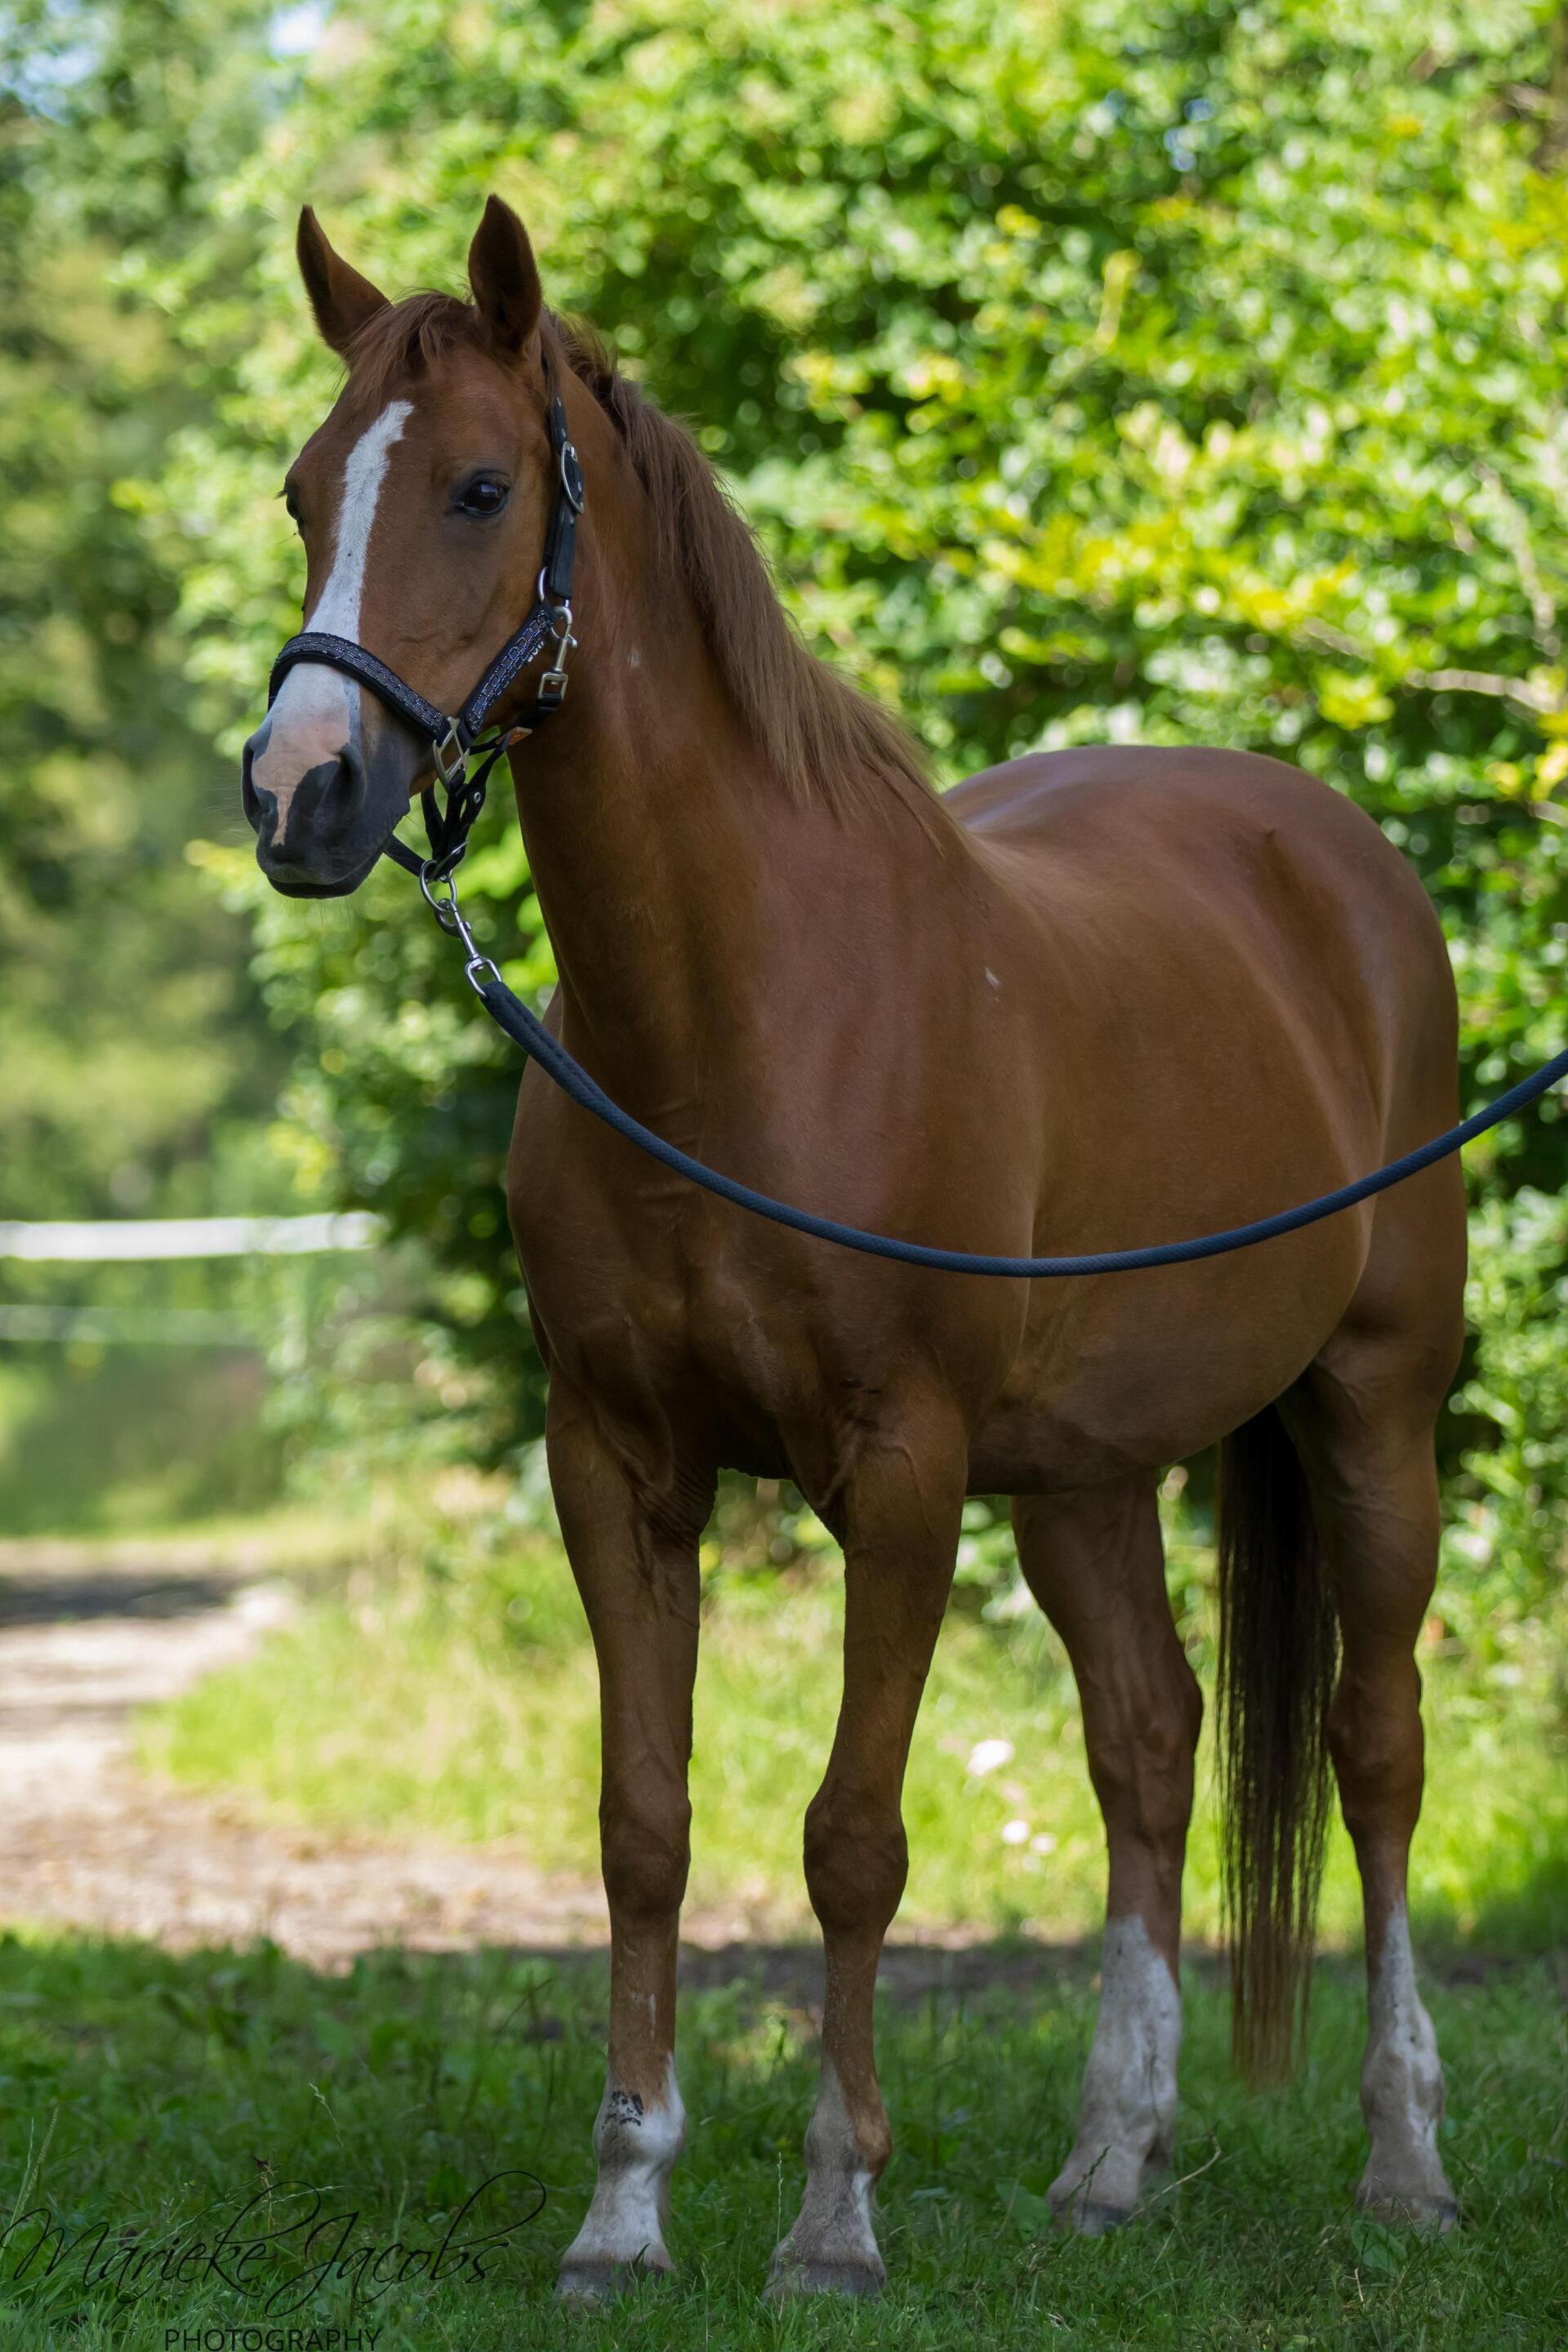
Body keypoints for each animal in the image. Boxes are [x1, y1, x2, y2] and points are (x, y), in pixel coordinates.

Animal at [242, 196, 1465, 2295]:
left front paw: (832, 2215)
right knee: (1150, 1740)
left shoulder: (897, 1477)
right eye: (309, 492)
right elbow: (643, 1823)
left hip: (1372, 1411)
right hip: (1083, 1473)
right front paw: (624, 2210)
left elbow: (852, 1835)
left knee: (1370, 1750)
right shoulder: (615, 1467)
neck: (737, 1018)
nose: (299, 796)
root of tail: (1340, 862)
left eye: (480, 487)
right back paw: (1109, 2159)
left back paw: (1403, 2161)